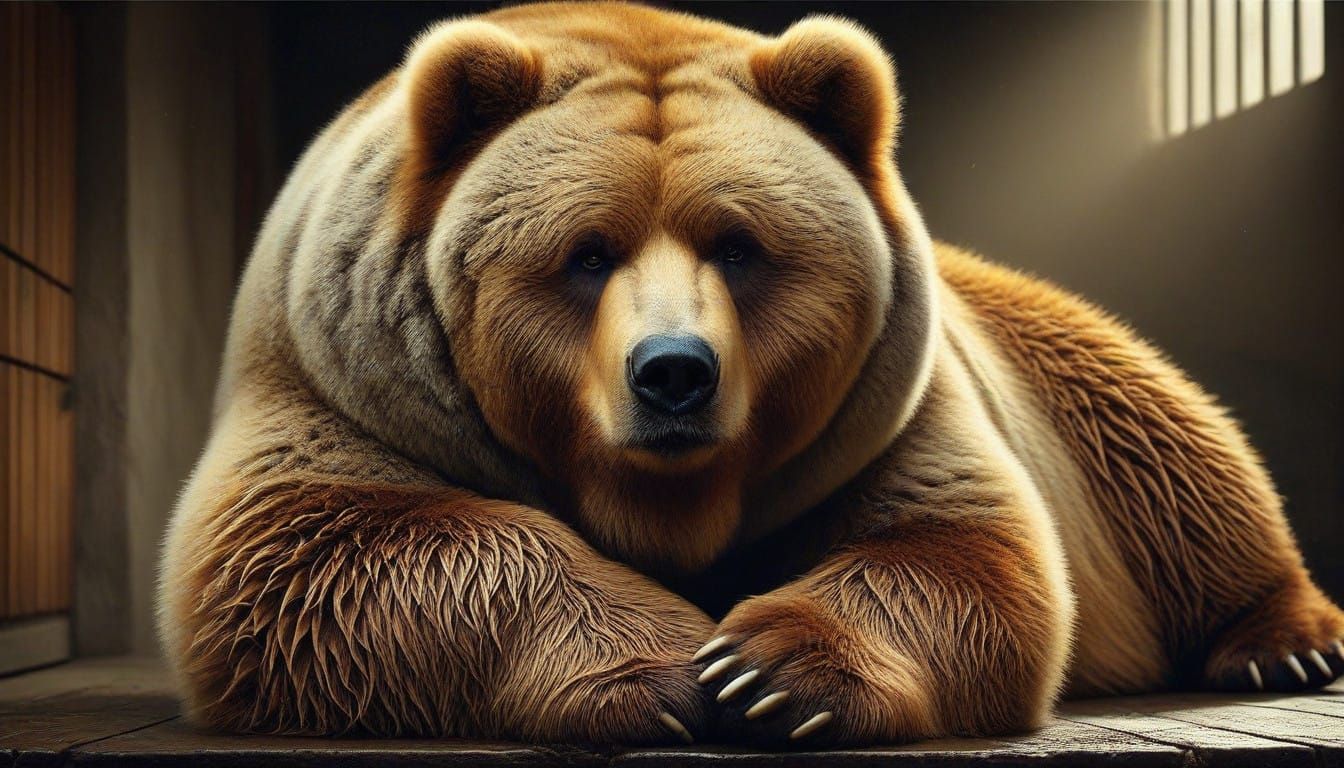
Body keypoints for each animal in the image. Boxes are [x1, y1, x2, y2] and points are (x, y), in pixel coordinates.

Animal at [157, 1, 1344, 747]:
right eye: (586, 253)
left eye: (739, 245)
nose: (674, 374)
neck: (673, 501)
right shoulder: (344, 384)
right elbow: (316, 550)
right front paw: (663, 671)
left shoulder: (886, 414)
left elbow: (964, 552)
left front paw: (767, 672)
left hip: (1047, 371)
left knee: (1172, 453)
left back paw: (1280, 646)